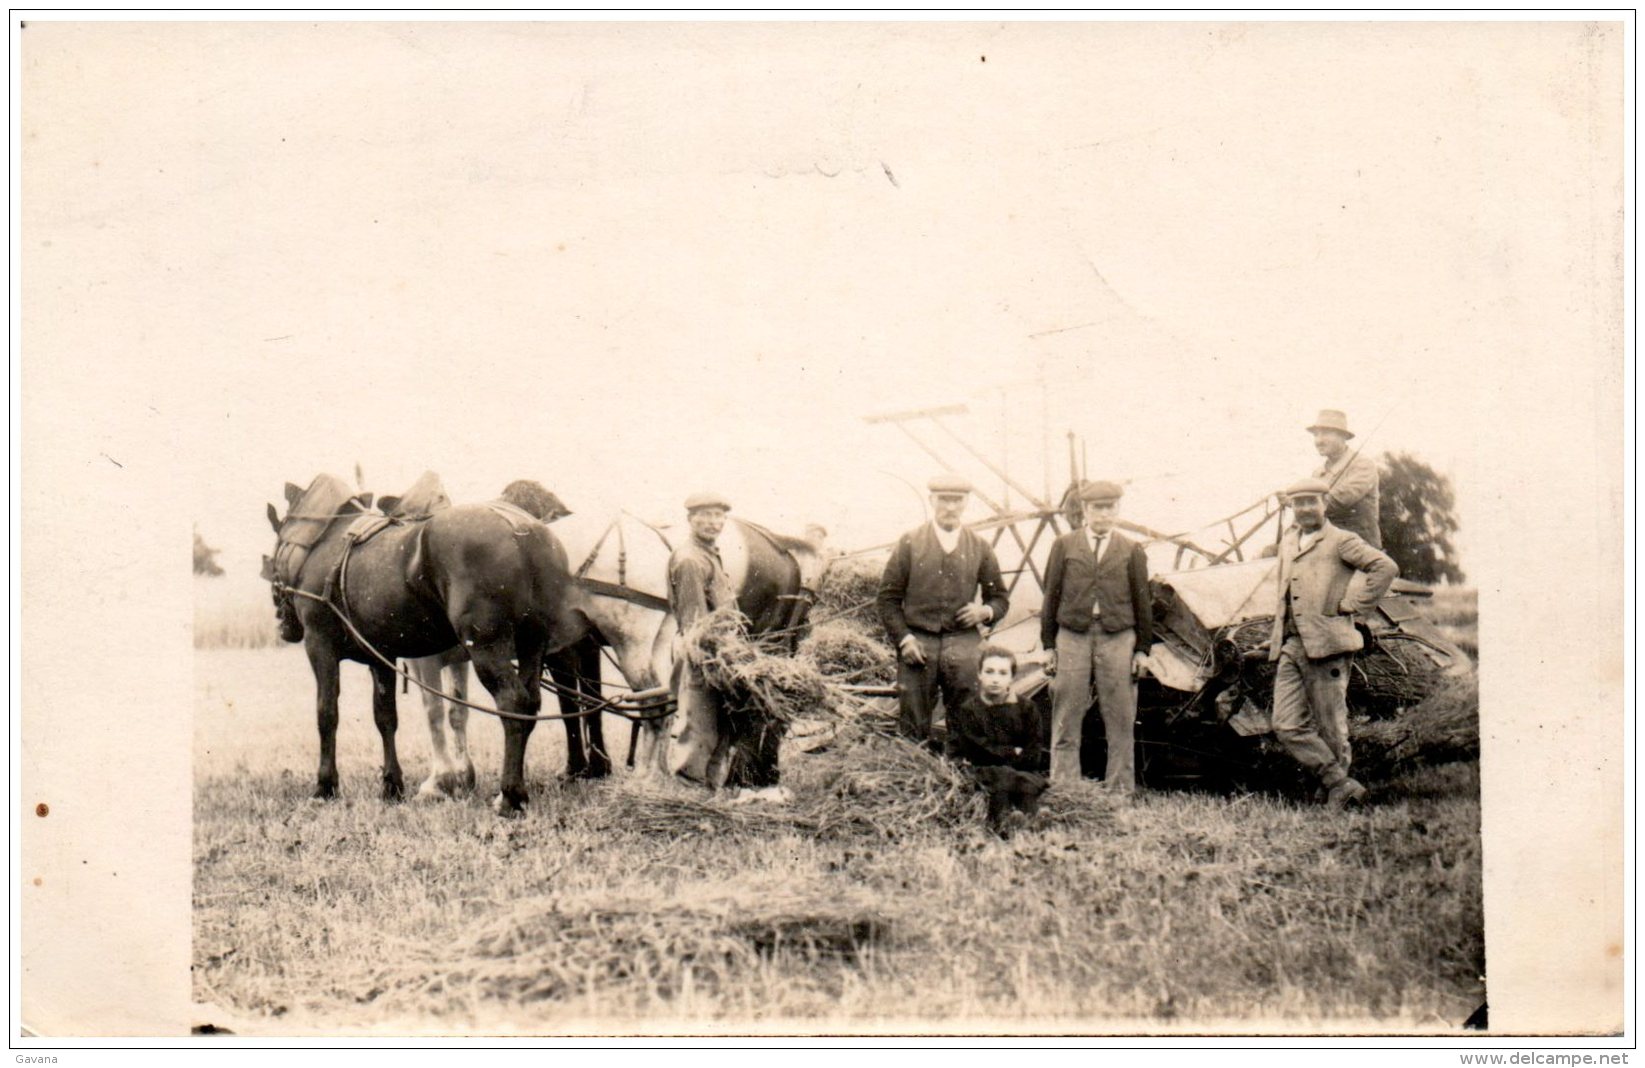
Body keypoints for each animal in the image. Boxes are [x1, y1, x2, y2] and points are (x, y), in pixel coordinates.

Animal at [266, 470, 582, 812]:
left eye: (275, 552)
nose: (283, 622)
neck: (324, 544)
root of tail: (525, 531)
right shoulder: (381, 656)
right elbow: (386, 717)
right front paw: (392, 785)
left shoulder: (320, 644)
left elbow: (326, 713)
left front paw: (325, 786)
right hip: (533, 644)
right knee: (533, 703)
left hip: (488, 648)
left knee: (513, 702)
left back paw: (511, 795)